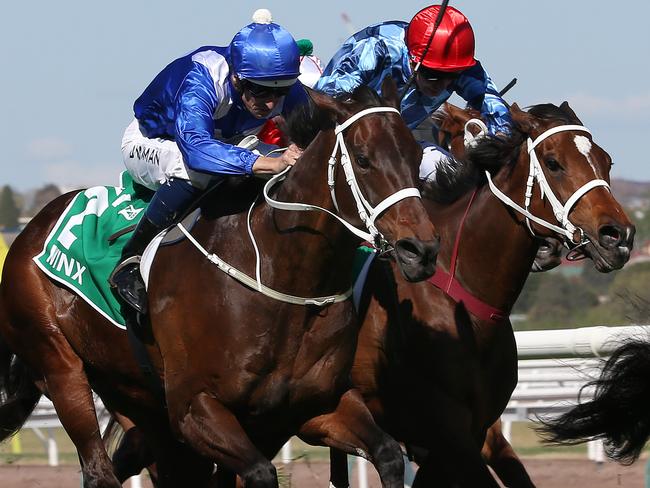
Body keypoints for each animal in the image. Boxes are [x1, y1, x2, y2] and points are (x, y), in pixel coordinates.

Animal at [0, 81, 438, 488]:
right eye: (363, 160)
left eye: (417, 157)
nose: (421, 250)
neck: (281, 275)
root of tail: (31, 230)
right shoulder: (195, 407)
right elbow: (260, 472)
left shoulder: (314, 405)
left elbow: (388, 453)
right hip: (61, 367)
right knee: (98, 469)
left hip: (133, 394)